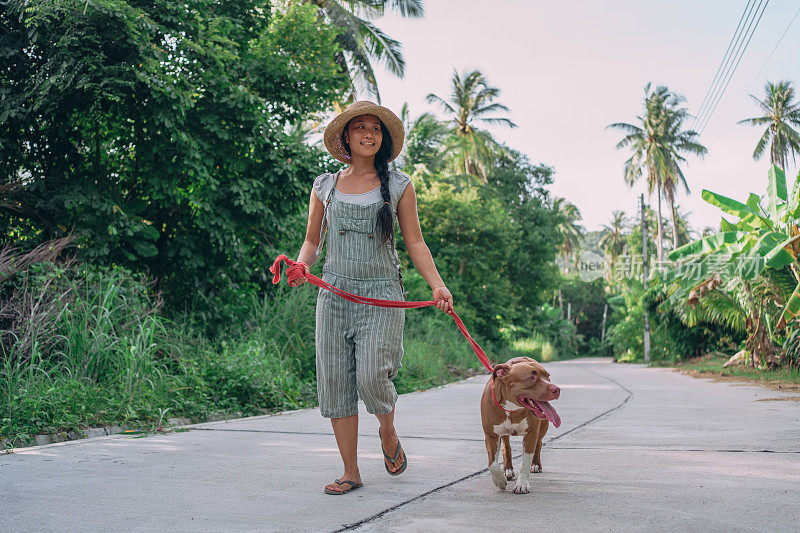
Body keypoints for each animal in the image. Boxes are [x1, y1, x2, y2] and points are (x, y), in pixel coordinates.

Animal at [482, 356, 564, 492]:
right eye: (531, 378)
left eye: (547, 376)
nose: (557, 389)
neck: (512, 408)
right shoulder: (490, 435)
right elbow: (492, 463)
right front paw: (499, 480)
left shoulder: (531, 433)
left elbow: (525, 462)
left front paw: (522, 484)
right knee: (506, 446)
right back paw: (508, 469)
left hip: (543, 427)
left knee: (539, 443)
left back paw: (536, 464)